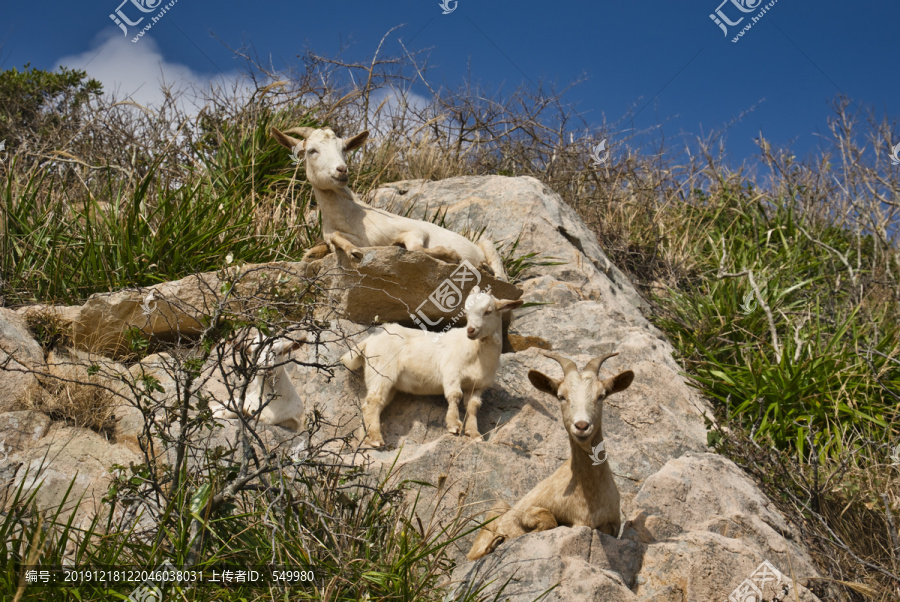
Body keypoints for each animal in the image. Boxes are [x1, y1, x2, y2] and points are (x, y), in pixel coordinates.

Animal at [268, 127, 506, 278]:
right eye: (311, 150)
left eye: (344, 149)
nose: (342, 170)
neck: (353, 217)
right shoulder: (336, 234)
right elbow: (333, 240)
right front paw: (351, 251)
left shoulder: (415, 230)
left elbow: (416, 248)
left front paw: (450, 254)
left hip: (488, 244)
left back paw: (486, 268)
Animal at [340, 284, 524, 446]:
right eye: (466, 311)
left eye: (488, 311)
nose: (470, 331)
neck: (477, 351)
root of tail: (369, 340)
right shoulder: (451, 372)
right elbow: (454, 396)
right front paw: (454, 426)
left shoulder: (478, 386)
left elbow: (472, 407)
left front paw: (474, 434)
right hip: (381, 371)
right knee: (372, 402)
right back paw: (376, 439)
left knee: (374, 404)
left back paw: (368, 437)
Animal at [468, 350, 636, 560]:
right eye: (561, 396)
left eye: (601, 395)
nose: (582, 426)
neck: (588, 497)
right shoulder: (527, 509)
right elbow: (546, 519)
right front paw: (504, 538)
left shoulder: (612, 525)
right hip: (496, 509)